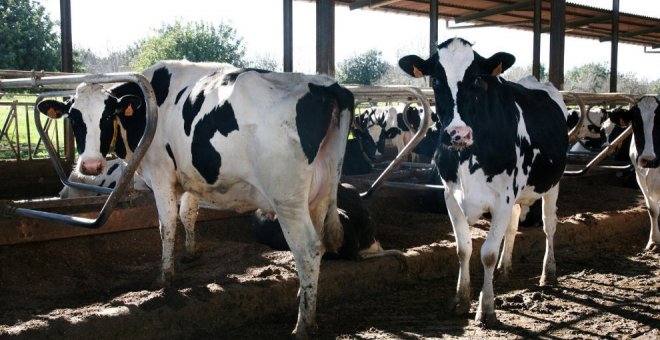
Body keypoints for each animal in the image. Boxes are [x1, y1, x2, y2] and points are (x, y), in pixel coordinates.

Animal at [37, 60, 356, 338]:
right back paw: (302, 298)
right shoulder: (190, 176)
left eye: (107, 116)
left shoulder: (161, 175)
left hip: (287, 198)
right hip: (318, 193)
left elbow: (166, 226)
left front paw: (164, 277)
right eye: (74, 117)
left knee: (308, 250)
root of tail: (327, 86)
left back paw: (303, 324)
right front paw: (191, 253)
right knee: (318, 247)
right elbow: (187, 214)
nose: (90, 166)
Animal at [398, 37, 568, 326]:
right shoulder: (451, 196)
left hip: (552, 184)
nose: (458, 134)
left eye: (477, 78)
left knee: (549, 226)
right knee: (513, 226)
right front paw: (461, 300)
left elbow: (487, 253)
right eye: (436, 80)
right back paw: (504, 269)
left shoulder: (502, 198)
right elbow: (463, 249)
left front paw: (486, 308)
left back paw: (549, 272)